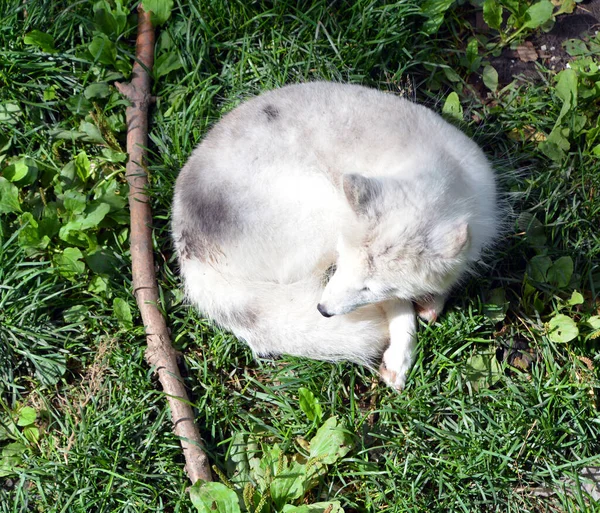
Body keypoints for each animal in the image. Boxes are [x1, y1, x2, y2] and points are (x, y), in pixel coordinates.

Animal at [171, 81, 500, 388]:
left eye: (371, 287)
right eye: (342, 261)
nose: (323, 310)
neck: (443, 167)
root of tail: (191, 255)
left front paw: (433, 301)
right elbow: (398, 304)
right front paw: (402, 351)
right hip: (326, 209)